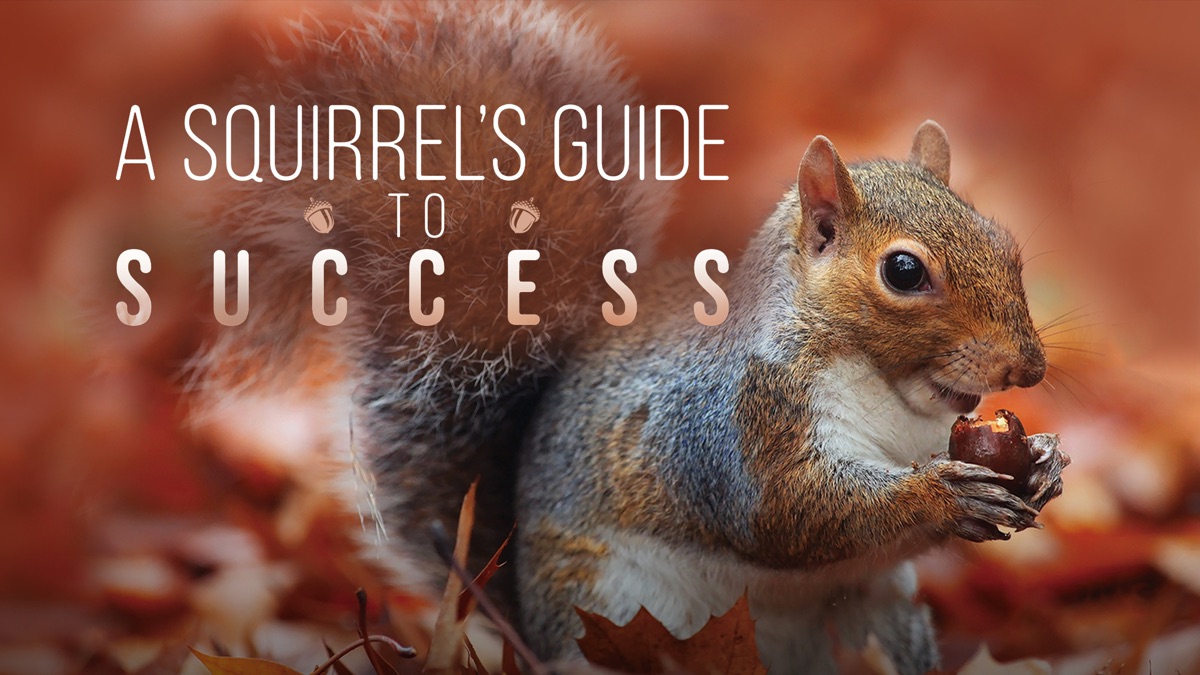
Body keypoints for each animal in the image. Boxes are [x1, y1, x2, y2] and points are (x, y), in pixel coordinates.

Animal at [193, 2, 1068, 673]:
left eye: (1004, 242)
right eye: (903, 271)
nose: (1028, 367)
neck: (895, 400)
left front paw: (1044, 464)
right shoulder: (731, 427)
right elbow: (788, 511)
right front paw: (940, 494)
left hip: (878, 620)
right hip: (608, 622)